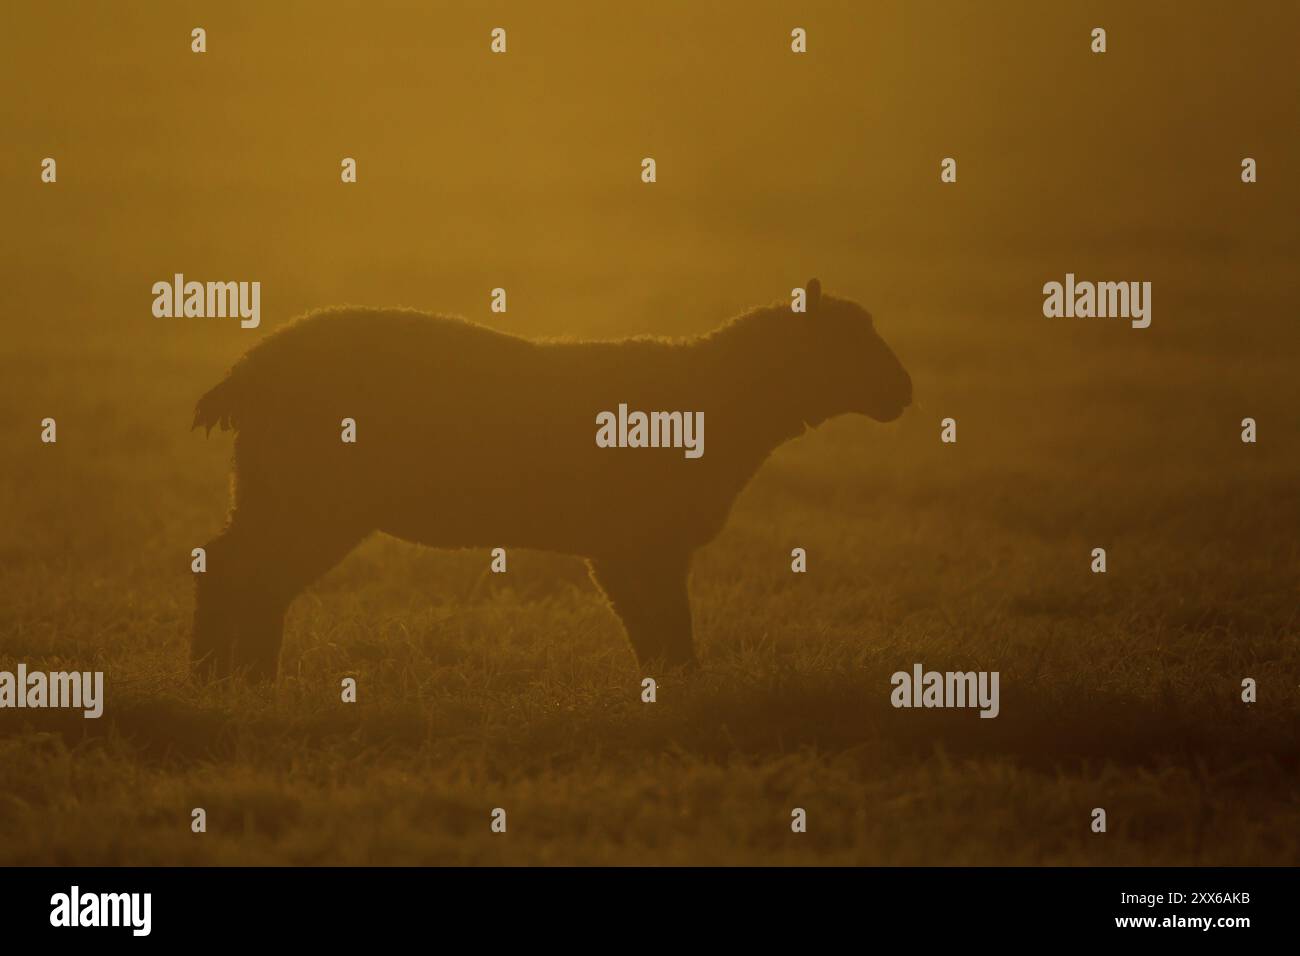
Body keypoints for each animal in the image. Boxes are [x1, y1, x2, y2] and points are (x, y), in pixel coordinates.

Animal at [192, 277, 909, 681]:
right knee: (239, 573)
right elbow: (662, 629)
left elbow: (656, 628)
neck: (720, 398)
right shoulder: (635, 545)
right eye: (850, 341)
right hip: (304, 495)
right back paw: (225, 681)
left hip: (276, 493)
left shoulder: (636, 548)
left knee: (245, 575)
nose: (904, 391)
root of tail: (246, 371)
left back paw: (244, 680)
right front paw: (685, 692)